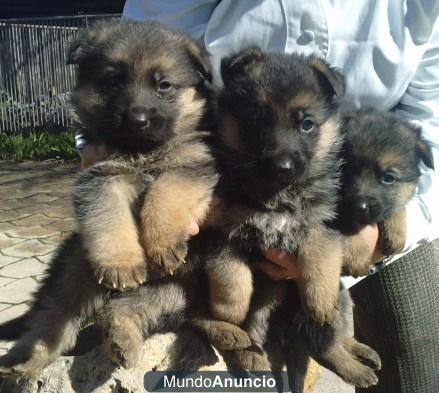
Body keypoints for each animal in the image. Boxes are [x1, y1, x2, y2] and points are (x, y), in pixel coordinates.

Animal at [0, 20, 217, 376]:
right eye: (114, 81)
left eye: (164, 85)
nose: (138, 119)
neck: (141, 152)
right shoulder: (101, 178)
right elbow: (109, 216)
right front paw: (121, 263)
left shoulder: (190, 167)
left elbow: (166, 193)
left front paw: (162, 242)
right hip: (75, 267)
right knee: (52, 318)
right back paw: (25, 359)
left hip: (174, 291)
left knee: (121, 309)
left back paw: (121, 341)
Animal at [336, 110, 434, 276]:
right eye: (347, 169)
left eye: (388, 178)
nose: (359, 207)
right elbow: (344, 221)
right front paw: (356, 254)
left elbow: (396, 205)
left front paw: (396, 230)